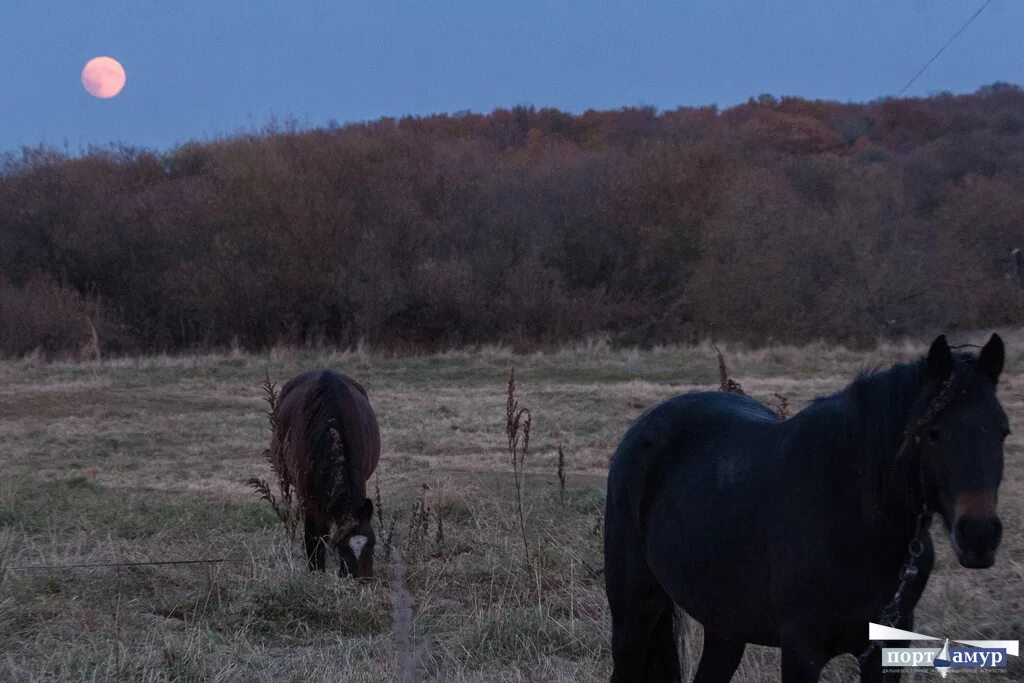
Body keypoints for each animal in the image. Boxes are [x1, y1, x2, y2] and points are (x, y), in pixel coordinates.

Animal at [274, 370, 382, 581]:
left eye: (372, 544)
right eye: (342, 547)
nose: (361, 580)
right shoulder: (309, 498)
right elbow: (314, 536)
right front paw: (316, 571)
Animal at [606, 333, 1007, 679]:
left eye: (1003, 431)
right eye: (933, 434)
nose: (979, 535)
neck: (853, 518)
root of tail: (645, 426)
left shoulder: (887, 646)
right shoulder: (802, 649)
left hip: (725, 624)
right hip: (634, 612)